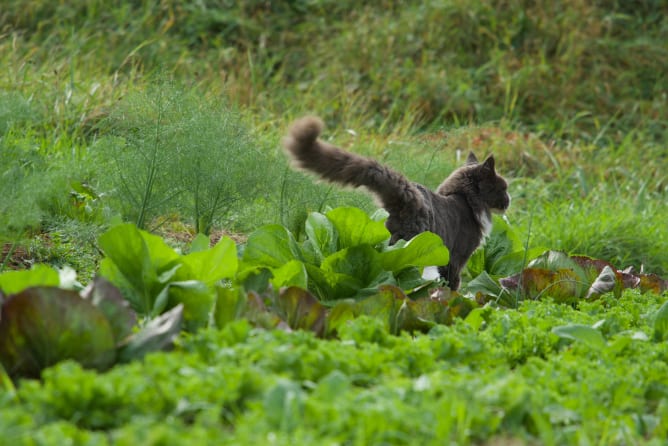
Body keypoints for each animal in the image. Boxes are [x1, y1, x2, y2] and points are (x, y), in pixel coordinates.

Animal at [284, 115, 512, 290]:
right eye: (503, 188)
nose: (509, 201)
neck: (464, 199)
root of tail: (406, 196)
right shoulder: (456, 259)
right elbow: (453, 284)